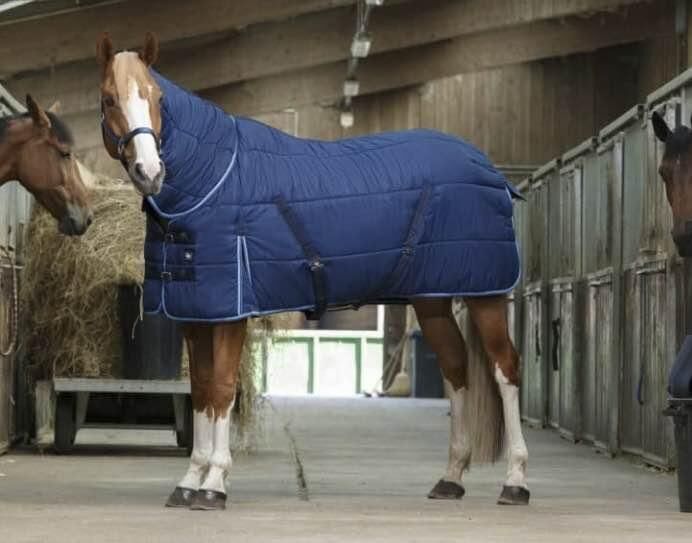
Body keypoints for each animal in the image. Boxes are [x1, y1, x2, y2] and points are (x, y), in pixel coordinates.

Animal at [97, 32, 529, 511]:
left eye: (156, 96)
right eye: (109, 98)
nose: (149, 172)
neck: (213, 179)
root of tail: (489, 170)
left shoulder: (230, 313)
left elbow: (224, 389)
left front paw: (214, 485)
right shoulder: (195, 314)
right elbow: (203, 392)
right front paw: (189, 481)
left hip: (486, 294)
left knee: (506, 369)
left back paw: (515, 482)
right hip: (432, 300)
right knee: (456, 368)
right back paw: (450, 478)